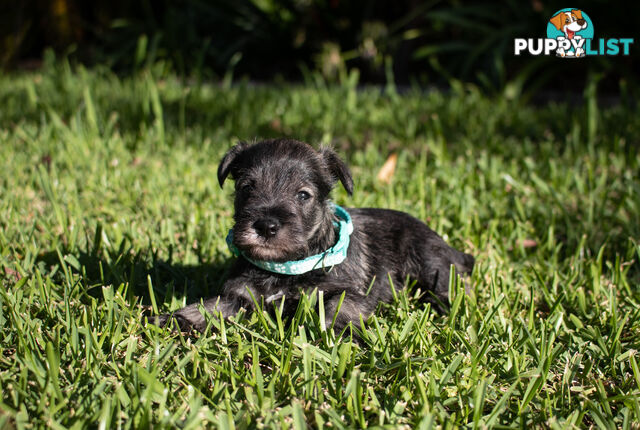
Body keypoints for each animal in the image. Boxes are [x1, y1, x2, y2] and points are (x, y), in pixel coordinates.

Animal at [156, 139, 476, 334]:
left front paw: (336, 332)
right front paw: (171, 319)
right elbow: (208, 307)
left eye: (302, 195)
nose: (266, 226)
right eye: (246, 188)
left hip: (431, 265)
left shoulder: (346, 290)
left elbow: (339, 307)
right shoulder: (239, 295)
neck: (285, 267)